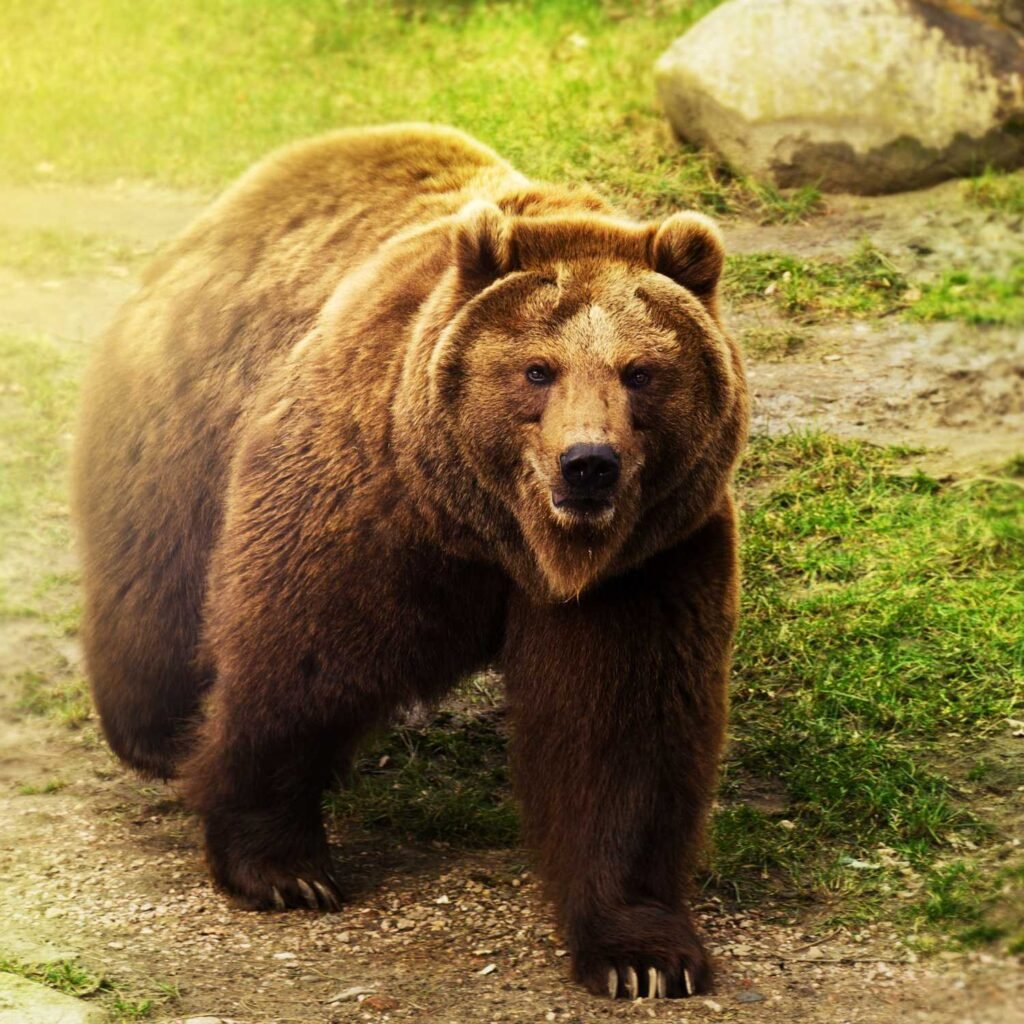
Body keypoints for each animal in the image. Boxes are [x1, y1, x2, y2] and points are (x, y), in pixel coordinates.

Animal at [72, 124, 748, 1001]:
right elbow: (297, 664)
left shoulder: (646, 561)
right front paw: (283, 866)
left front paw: (643, 955)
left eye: (640, 372)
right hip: (184, 423)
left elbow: (621, 736)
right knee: (154, 584)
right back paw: (157, 734)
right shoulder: (373, 503)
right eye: (537, 368)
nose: (589, 464)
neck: (503, 536)